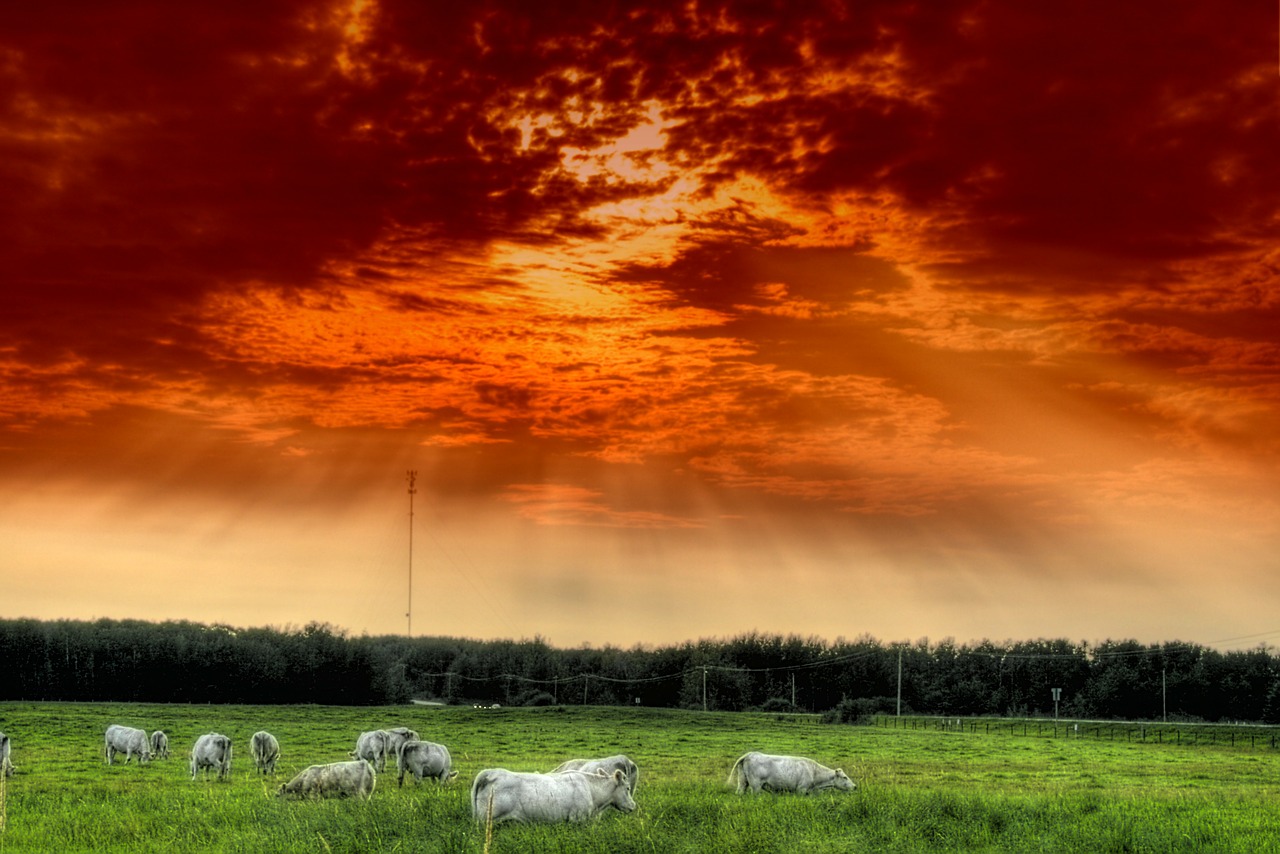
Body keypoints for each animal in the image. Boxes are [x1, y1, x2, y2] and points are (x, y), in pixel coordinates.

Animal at [727, 752, 855, 798]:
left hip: (742, 782)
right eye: (845, 777)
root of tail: (750, 754)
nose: (855, 786)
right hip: (755, 786)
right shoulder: (801, 789)